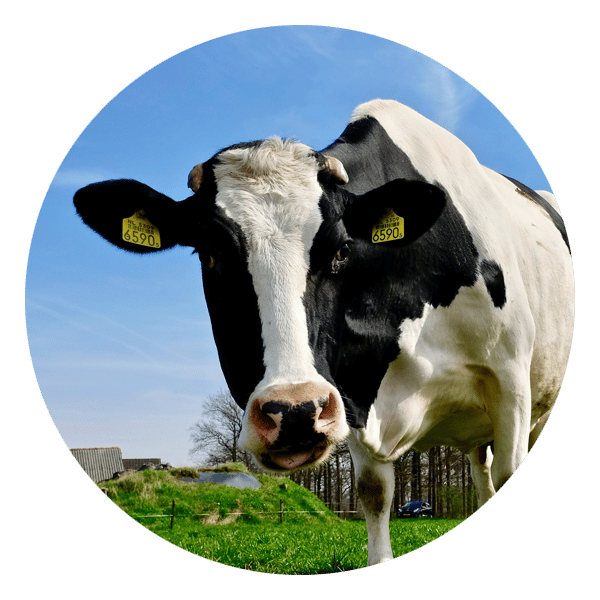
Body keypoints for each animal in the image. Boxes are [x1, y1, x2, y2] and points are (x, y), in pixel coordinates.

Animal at [72, 99, 576, 568]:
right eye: (207, 254)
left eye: (341, 249)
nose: (295, 412)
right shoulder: (350, 393)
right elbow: (373, 493)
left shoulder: (510, 382)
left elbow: (512, 472)